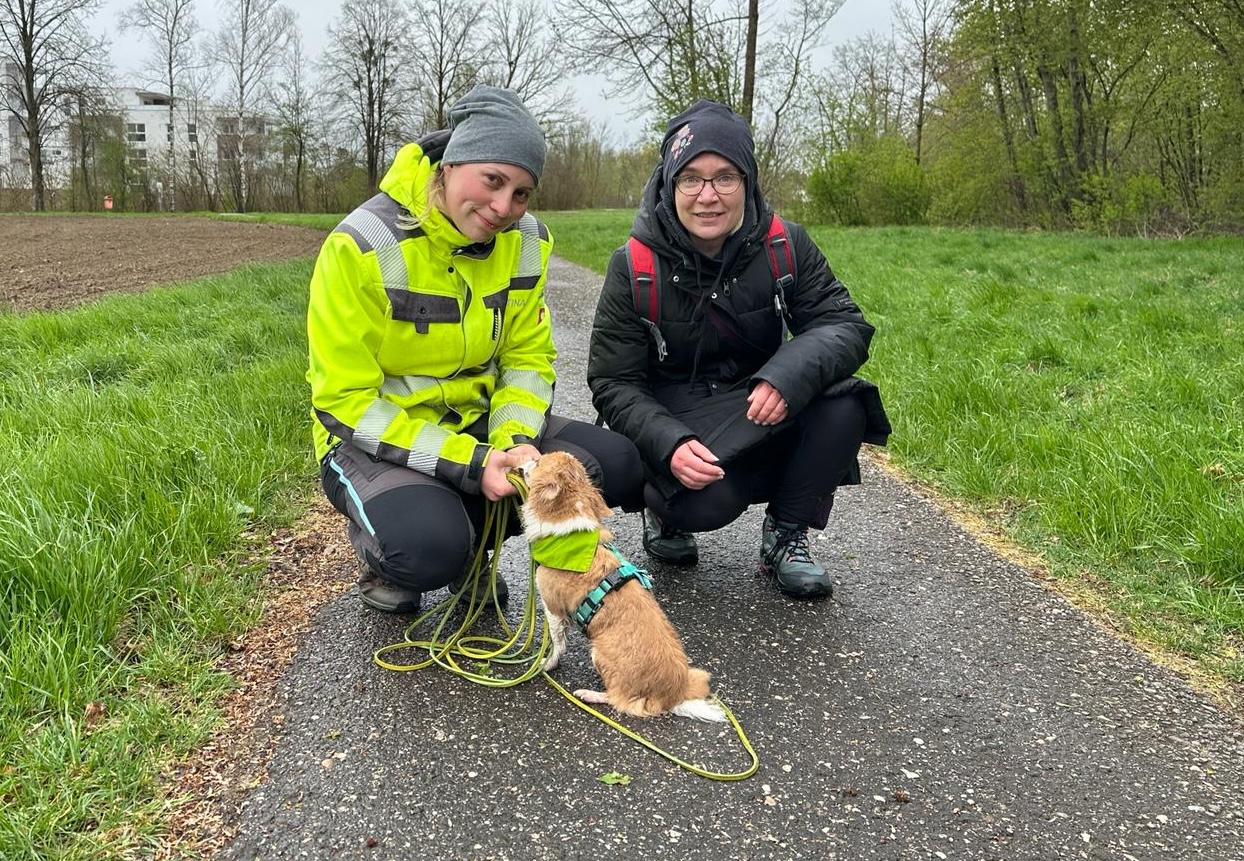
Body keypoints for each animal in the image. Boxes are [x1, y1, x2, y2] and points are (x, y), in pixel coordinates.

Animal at [518, 451, 726, 722]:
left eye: (538, 462)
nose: (519, 463)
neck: (571, 538)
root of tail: (674, 697)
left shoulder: (552, 607)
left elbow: (557, 643)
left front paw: (547, 663)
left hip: (599, 653)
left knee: (621, 701)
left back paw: (591, 694)